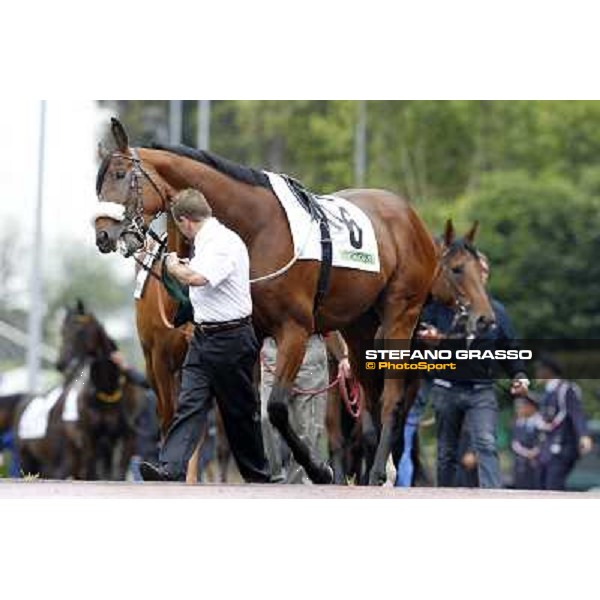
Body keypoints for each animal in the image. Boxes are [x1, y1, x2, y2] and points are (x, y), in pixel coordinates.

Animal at [94, 118, 494, 488]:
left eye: (120, 174)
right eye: (98, 184)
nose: (102, 234)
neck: (255, 227)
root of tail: (409, 217)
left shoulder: (294, 330)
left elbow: (275, 408)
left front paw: (318, 469)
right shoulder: (243, 335)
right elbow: (240, 406)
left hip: (401, 314)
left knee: (392, 398)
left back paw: (380, 471)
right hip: (359, 326)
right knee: (369, 399)